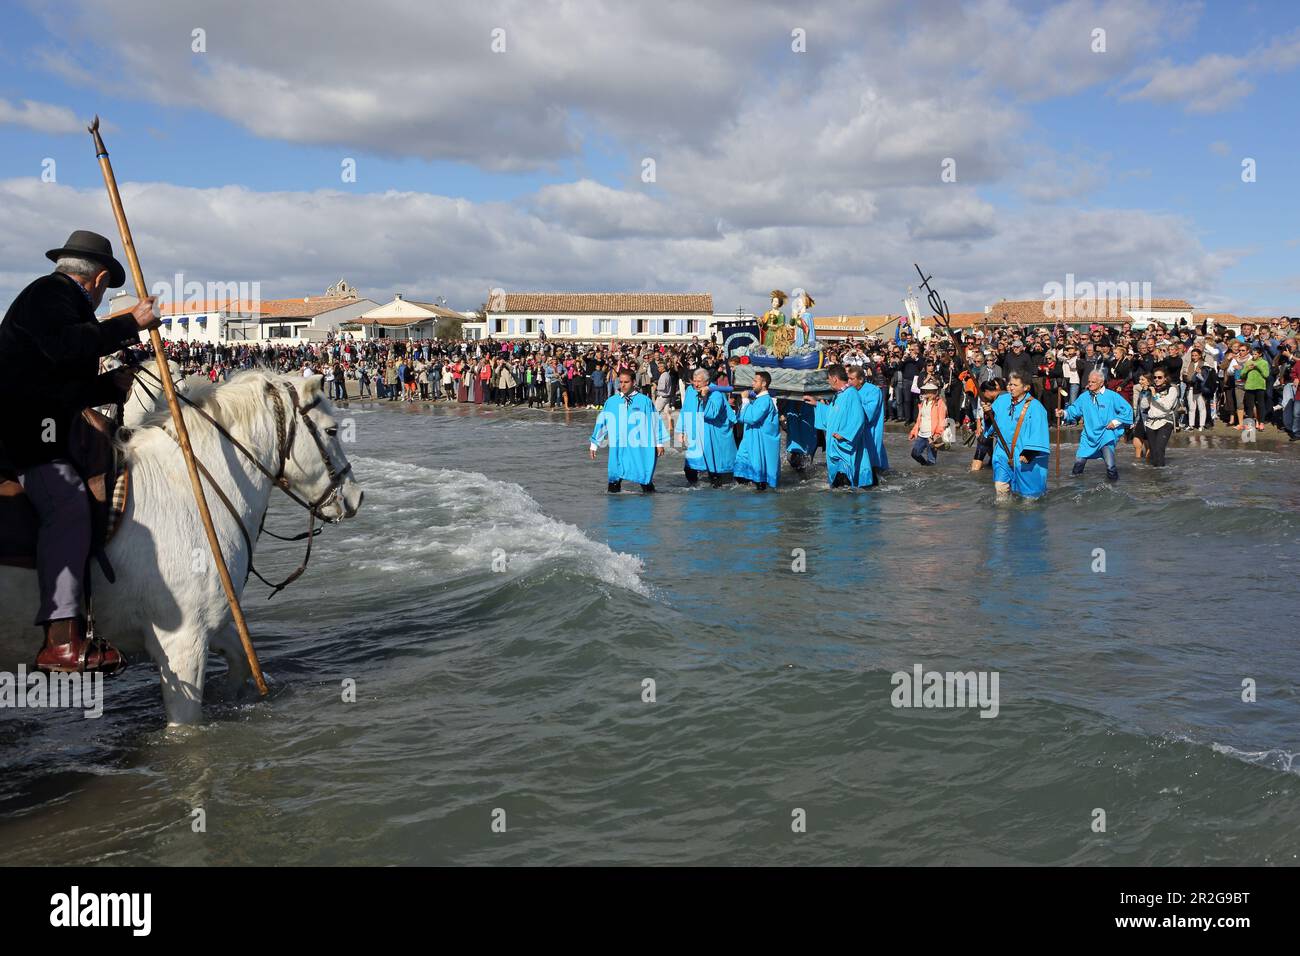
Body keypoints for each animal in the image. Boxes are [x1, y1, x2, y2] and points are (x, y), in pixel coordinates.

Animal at [0, 369, 364, 723]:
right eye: (331, 430)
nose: (356, 496)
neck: (186, 484)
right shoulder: (182, 641)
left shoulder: (210, 623)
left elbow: (240, 660)